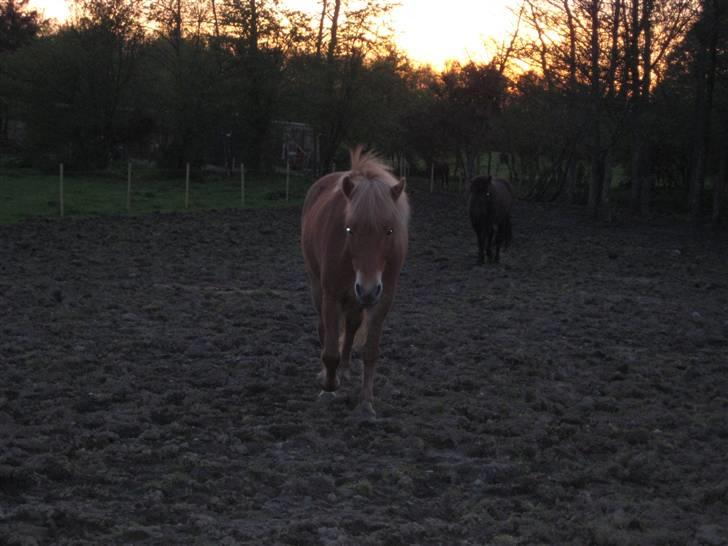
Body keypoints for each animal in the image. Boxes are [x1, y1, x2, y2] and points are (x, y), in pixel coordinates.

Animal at [300, 147, 410, 414]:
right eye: (349, 229)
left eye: (389, 230)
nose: (367, 289)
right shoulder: (332, 294)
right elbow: (330, 351)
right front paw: (328, 386)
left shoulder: (382, 299)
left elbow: (370, 350)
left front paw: (366, 401)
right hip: (319, 287)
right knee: (323, 328)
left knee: (351, 326)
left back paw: (346, 369)